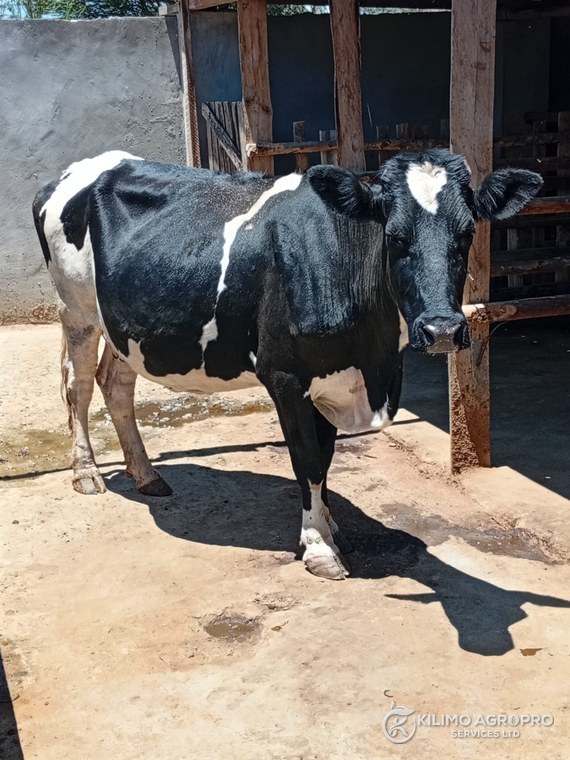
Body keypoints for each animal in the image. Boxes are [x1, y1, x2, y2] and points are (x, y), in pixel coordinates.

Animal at [32, 149, 542, 579]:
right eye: (394, 236)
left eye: (468, 232)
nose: (442, 330)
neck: (372, 364)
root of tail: (75, 169)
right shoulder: (285, 376)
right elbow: (307, 460)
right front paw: (318, 547)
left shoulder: (333, 379)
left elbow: (327, 457)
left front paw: (330, 528)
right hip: (76, 308)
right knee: (77, 385)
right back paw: (86, 474)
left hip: (125, 327)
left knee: (115, 385)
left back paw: (147, 475)